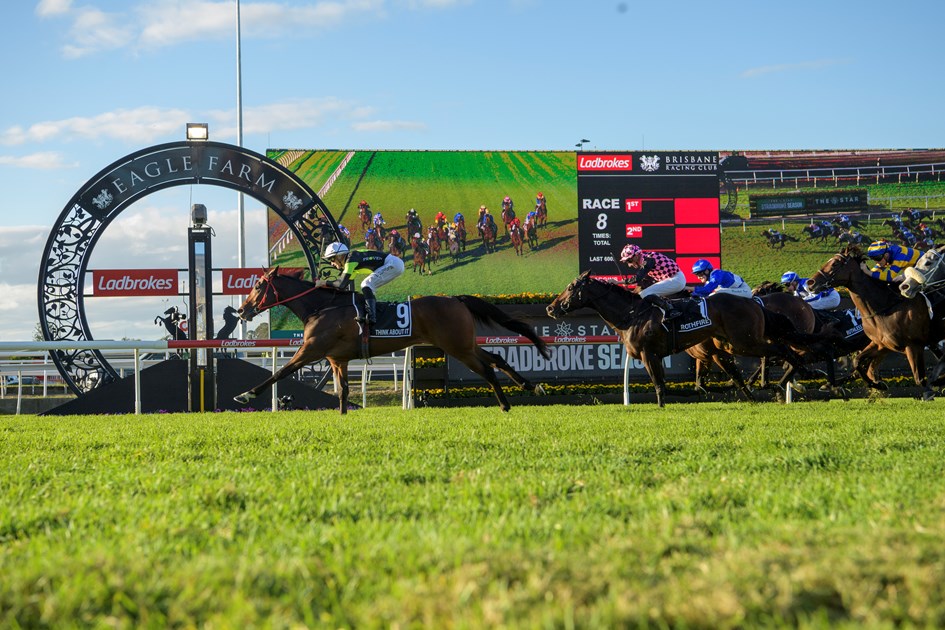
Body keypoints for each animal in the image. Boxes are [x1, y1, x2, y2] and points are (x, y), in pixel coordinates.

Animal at [232, 270, 548, 414]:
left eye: (258, 286)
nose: (242, 310)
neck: (321, 308)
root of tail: (456, 300)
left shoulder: (311, 350)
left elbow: (280, 372)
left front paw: (245, 394)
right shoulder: (337, 359)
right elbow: (343, 391)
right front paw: (342, 415)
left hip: (457, 347)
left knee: (487, 369)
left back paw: (506, 404)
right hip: (465, 344)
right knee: (498, 359)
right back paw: (530, 386)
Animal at [544, 272, 812, 410]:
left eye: (571, 287)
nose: (550, 308)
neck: (632, 314)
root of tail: (753, 302)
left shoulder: (649, 354)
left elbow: (659, 384)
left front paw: (661, 407)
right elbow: (690, 385)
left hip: (744, 341)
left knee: (780, 349)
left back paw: (789, 379)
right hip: (737, 342)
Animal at [804, 247, 944, 400]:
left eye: (835, 263)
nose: (810, 283)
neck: (883, 308)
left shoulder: (914, 346)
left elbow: (920, 378)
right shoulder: (881, 344)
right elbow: (858, 362)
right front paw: (878, 385)